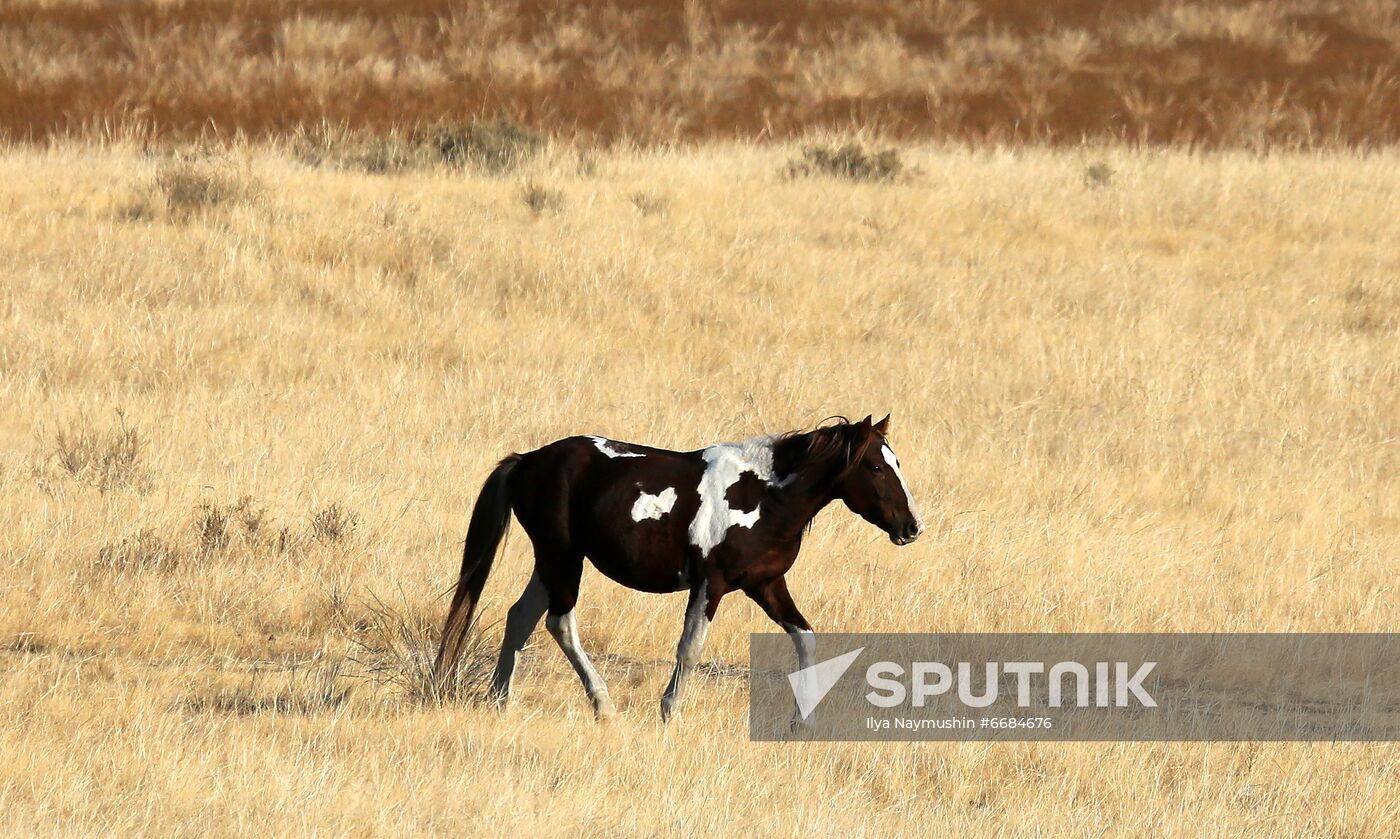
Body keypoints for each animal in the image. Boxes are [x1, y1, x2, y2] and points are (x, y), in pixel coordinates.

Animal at [431, 414, 924, 722]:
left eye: (898, 462)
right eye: (876, 467)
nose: (912, 527)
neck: (767, 496)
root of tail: (527, 461)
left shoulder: (767, 584)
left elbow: (806, 641)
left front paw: (802, 721)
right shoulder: (711, 584)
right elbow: (690, 648)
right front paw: (670, 711)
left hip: (552, 561)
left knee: (520, 618)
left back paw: (500, 700)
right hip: (563, 558)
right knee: (560, 623)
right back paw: (603, 706)